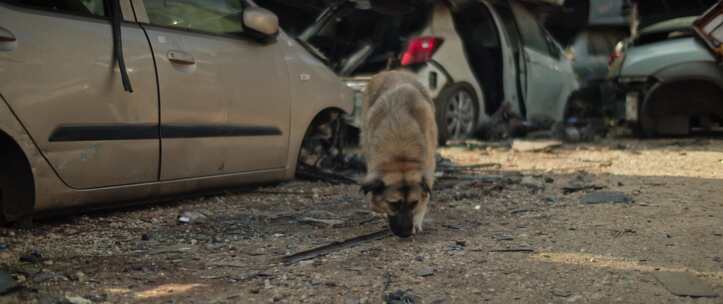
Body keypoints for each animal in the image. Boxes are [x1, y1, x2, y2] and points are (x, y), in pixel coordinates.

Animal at [360, 70, 438, 238]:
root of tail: (393, 71)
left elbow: (426, 197)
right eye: (393, 204)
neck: (401, 156)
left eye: (414, 203)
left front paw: (417, 221)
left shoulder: (428, 166)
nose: (405, 234)